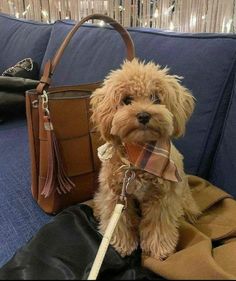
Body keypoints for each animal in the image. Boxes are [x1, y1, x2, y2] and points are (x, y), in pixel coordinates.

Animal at [90, 58, 199, 260]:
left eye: (156, 98)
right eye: (126, 100)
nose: (143, 115)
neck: (140, 156)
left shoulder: (163, 198)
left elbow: (159, 224)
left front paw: (159, 249)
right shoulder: (117, 195)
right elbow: (120, 221)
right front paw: (122, 244)